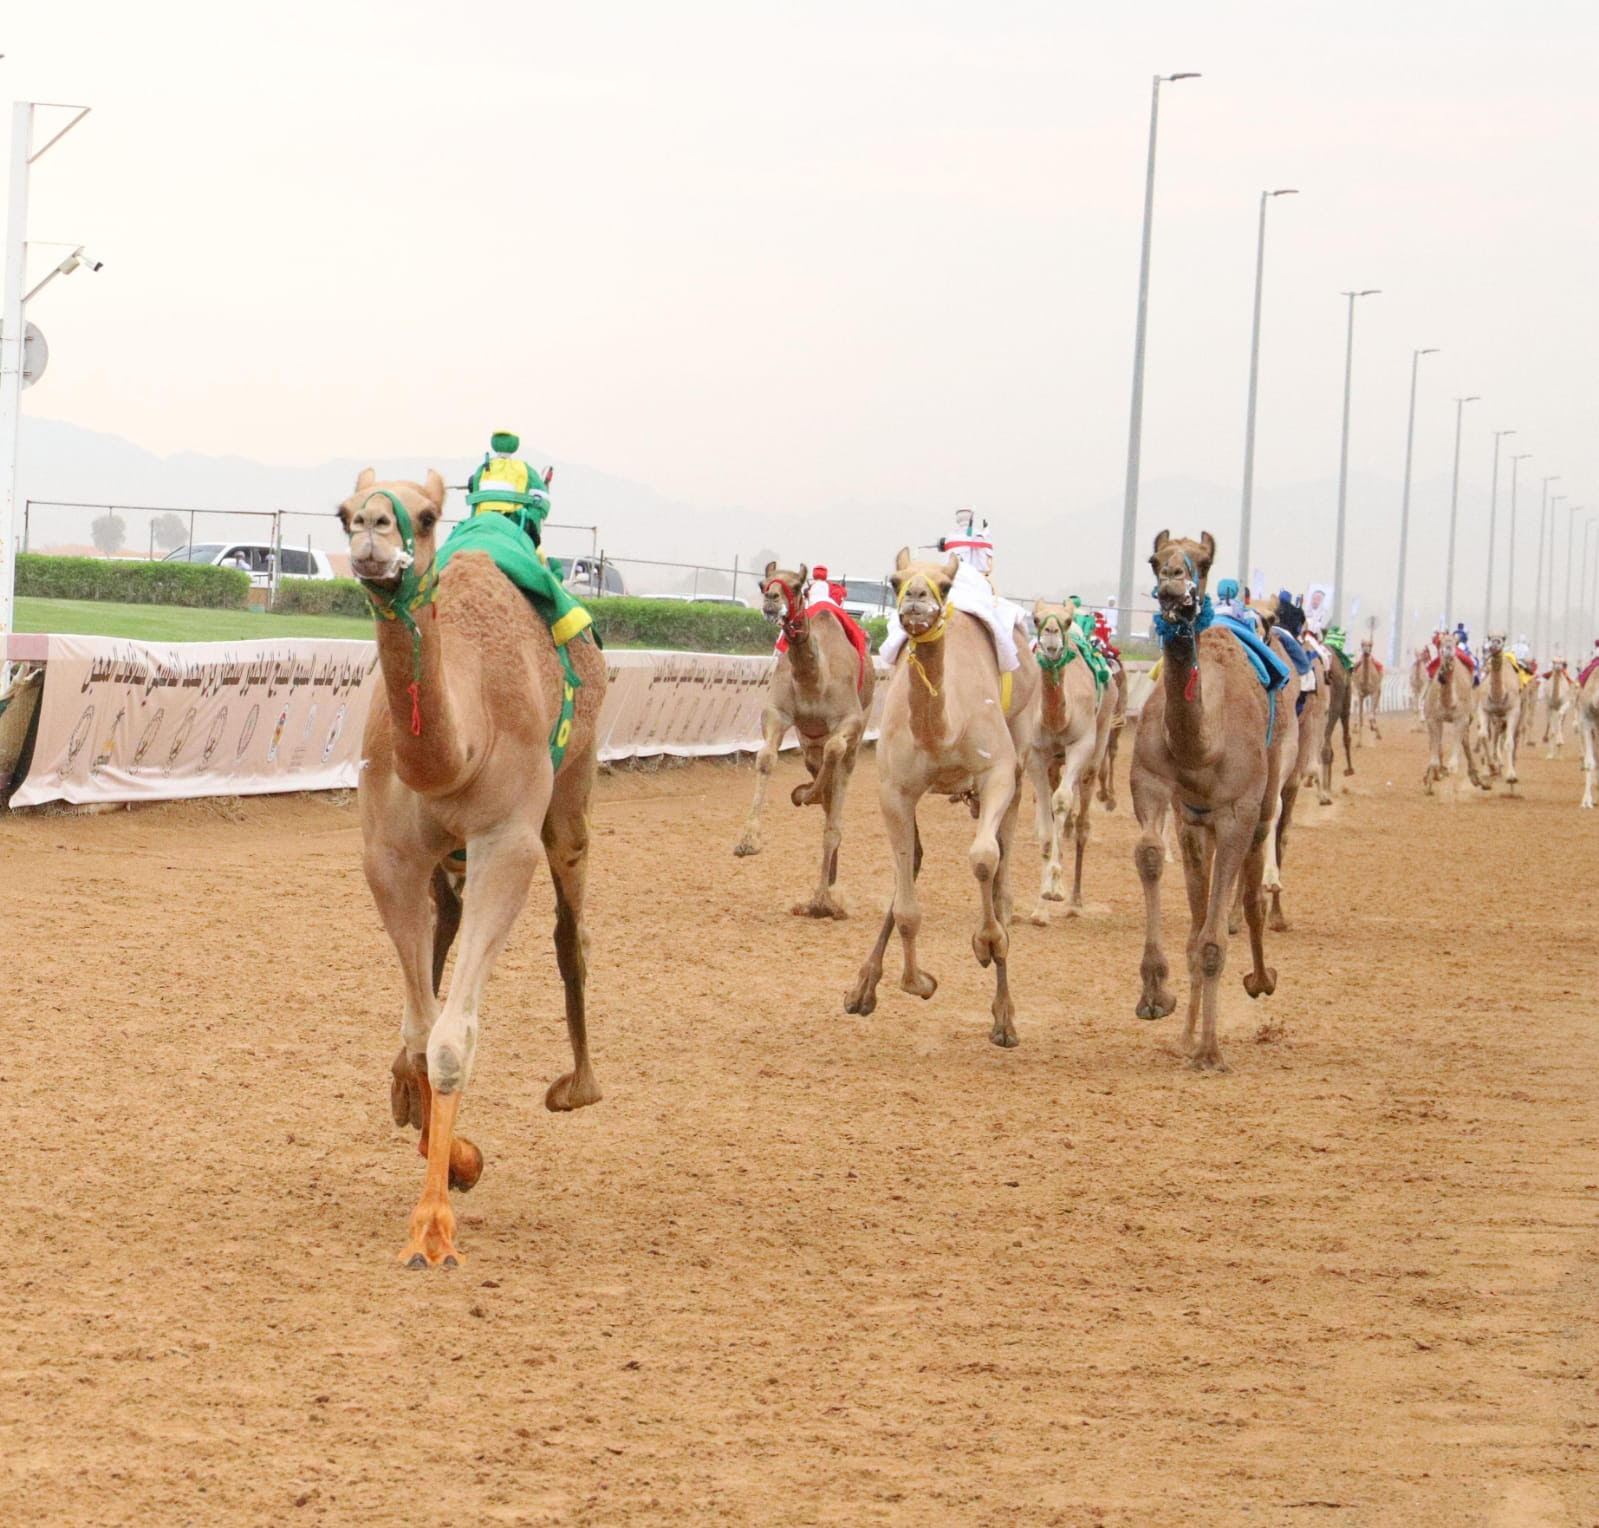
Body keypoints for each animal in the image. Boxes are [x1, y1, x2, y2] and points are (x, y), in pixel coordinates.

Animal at [337, 473, 604, 1272]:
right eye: (343, 511)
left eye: (425, 516)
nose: (371, 530)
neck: (458, 750)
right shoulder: (388, 856)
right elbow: (424, 1031)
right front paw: (450, 1152)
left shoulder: (504, 842)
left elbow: (454, 1040)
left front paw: (432, 1225)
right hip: (444, 858)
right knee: (444, 931)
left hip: (571, 796)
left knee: (570, 931)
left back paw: (578, 1087)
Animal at [732, 562, 876, 920]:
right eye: (763, 583)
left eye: (797, 586)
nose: (771, 600)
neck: (814, 679)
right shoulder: (779, 713)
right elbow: (766, 758)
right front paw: (747, 842)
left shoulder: (849, 720)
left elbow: (835, 751)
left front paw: (804, 795)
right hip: (809, 740)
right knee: (824, 785)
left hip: (857, 734)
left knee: (836, 796)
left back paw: (822, 901)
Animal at [844, 546, 1042, 1048]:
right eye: (896, 581)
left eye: (945, 586)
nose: (917, 599)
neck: (942, 732)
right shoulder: (895, 790)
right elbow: (906, 902)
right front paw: (916, 982)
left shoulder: (996, 773)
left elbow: (983, 859)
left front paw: (985, 943)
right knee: (914, 865)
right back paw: (862, 990)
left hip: (1021, 757)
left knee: (1002, 871)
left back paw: (1004, 1019)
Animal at [1125, 530, 1285, 1067]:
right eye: (1155, 559)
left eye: (1202, 561)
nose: (1175, 583)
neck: (1201, 745)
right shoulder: (1154, 786)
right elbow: (1150, 856)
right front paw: (1157, 995)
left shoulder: (1237, 811)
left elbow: (1215, 940)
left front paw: (1211, 1054)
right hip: (1195, 823)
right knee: (1198, 918)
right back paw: (1188, 1034)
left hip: (1263, 797)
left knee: (1253, 885)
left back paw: (1261, 979)